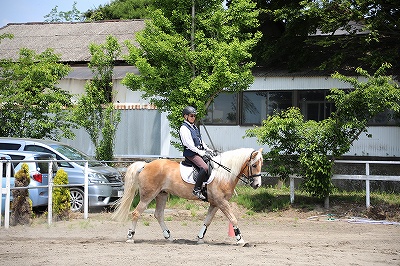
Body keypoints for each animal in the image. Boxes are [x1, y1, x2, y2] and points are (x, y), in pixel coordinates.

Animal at [111, 148, 264, 245]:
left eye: (261, 164)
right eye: (254, 165)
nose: (257, 184)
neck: (223, 173)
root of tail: (145, 165)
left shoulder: (216, 203)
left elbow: (207, 221)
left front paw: (200, 238)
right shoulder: (222, 202)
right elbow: (233, 219)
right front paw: (240, 240)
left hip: (162, 195)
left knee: (158, 214)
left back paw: (169, 236)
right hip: (148, 195)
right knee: (136, 213)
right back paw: (130, 237)